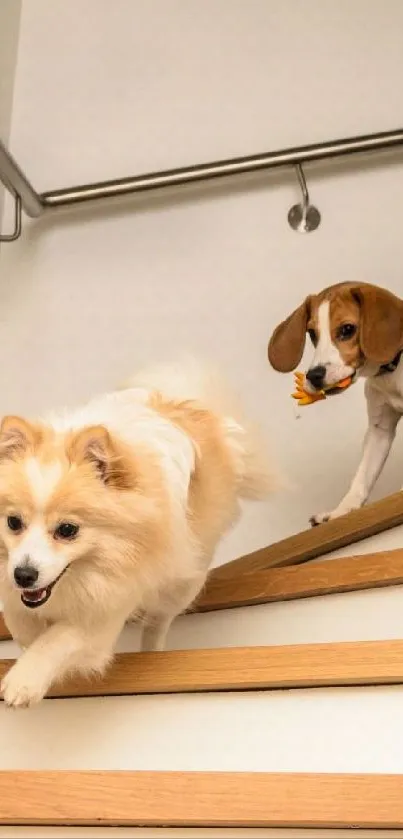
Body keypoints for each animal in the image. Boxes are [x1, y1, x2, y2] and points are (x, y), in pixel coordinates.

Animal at [0, 362, 274, 708]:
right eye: (13, 523)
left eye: (67, 530)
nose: (23, 574)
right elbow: (20, 621)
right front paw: (27, 639)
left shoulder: (109, 604)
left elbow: (59, 638)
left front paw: (25, 679)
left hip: (183, 580)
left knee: (159, 620)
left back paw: (152, 653)